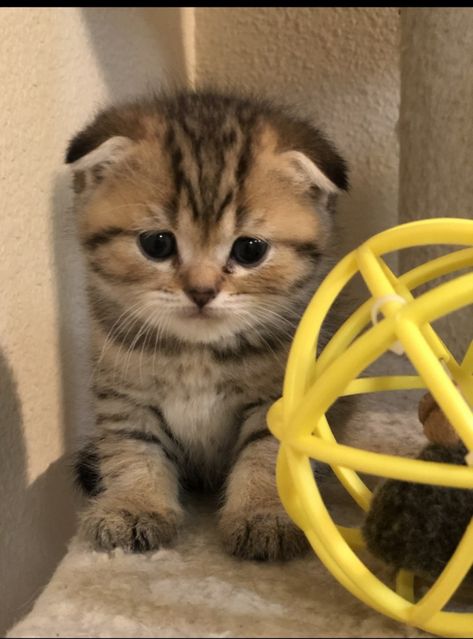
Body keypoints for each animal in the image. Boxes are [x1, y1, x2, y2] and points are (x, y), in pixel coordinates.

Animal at [66, 90, 346, 560]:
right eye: (157, 244)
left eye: (250, 250)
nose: (201, 291)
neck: (195, 353)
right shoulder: (125, 396)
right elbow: (133, 451)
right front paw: (133, 506)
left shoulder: (277, 399)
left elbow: (266, 454)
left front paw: (263, 514)